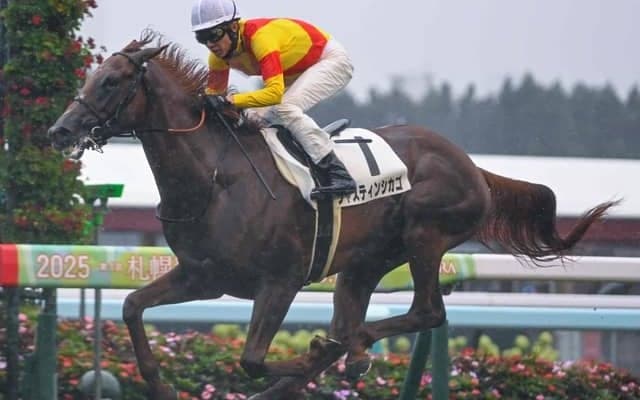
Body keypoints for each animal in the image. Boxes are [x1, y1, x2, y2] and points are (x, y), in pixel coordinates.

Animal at [48, 32, 616, 399]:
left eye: (112, 81)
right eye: (93, 75)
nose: (60, 130)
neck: (215, 178)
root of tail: (472, 166)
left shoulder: (280, 280)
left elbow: (251, 359)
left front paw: (307, 357)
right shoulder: (204, 277)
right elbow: (132, 307)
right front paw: (160, 383)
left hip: (426, 235)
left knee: (425, 312)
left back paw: (346, 351)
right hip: (364, 263)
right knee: (357, 316)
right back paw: (343, 355)